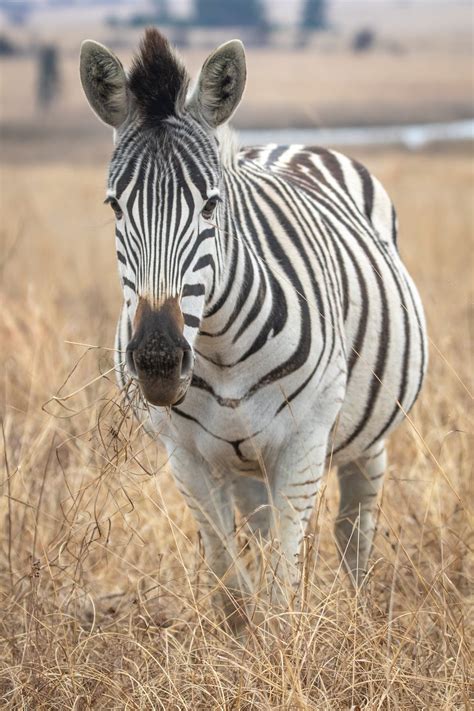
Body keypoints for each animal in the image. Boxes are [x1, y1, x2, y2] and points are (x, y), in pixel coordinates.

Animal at [80, 29, 427, 611]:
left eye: (210, 205)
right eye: (115, 208)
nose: (157, 361)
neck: (219, 348)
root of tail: (296, 145)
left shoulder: (304, 443)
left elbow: (282, 591)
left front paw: (283, 635)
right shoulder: (187, 457)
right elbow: (232, 587)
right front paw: (245, 629)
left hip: (367, 433)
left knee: (355, 527)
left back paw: (362, 611)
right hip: (245, 464)